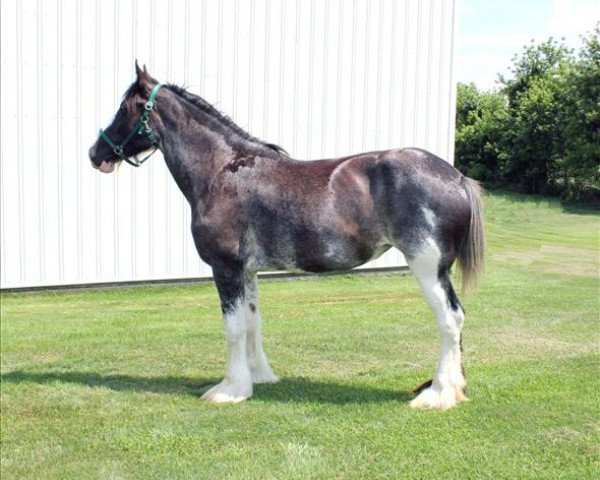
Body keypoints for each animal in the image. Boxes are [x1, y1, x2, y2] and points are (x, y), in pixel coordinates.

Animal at [88, 62, 482, 408]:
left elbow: (234, 327)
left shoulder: (226, 269)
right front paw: (257, 378)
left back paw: (438, 394)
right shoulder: (247, 272)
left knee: (451, 320)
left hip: (428, 268)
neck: (222, 171)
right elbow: (252, 322)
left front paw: (230, 390)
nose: (95, 153)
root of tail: (455, 176)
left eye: (124, 108)